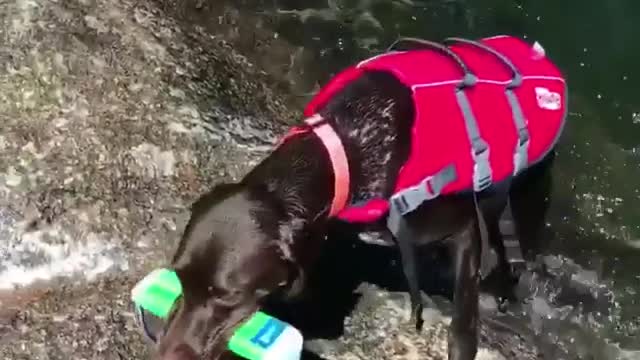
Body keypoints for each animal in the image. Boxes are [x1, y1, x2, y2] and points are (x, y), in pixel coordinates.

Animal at [148, 34, 568, 360]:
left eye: (228, 298)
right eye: (179, 279)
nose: (168, 352)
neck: (343, 145)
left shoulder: (459, 224)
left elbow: (464, 312)